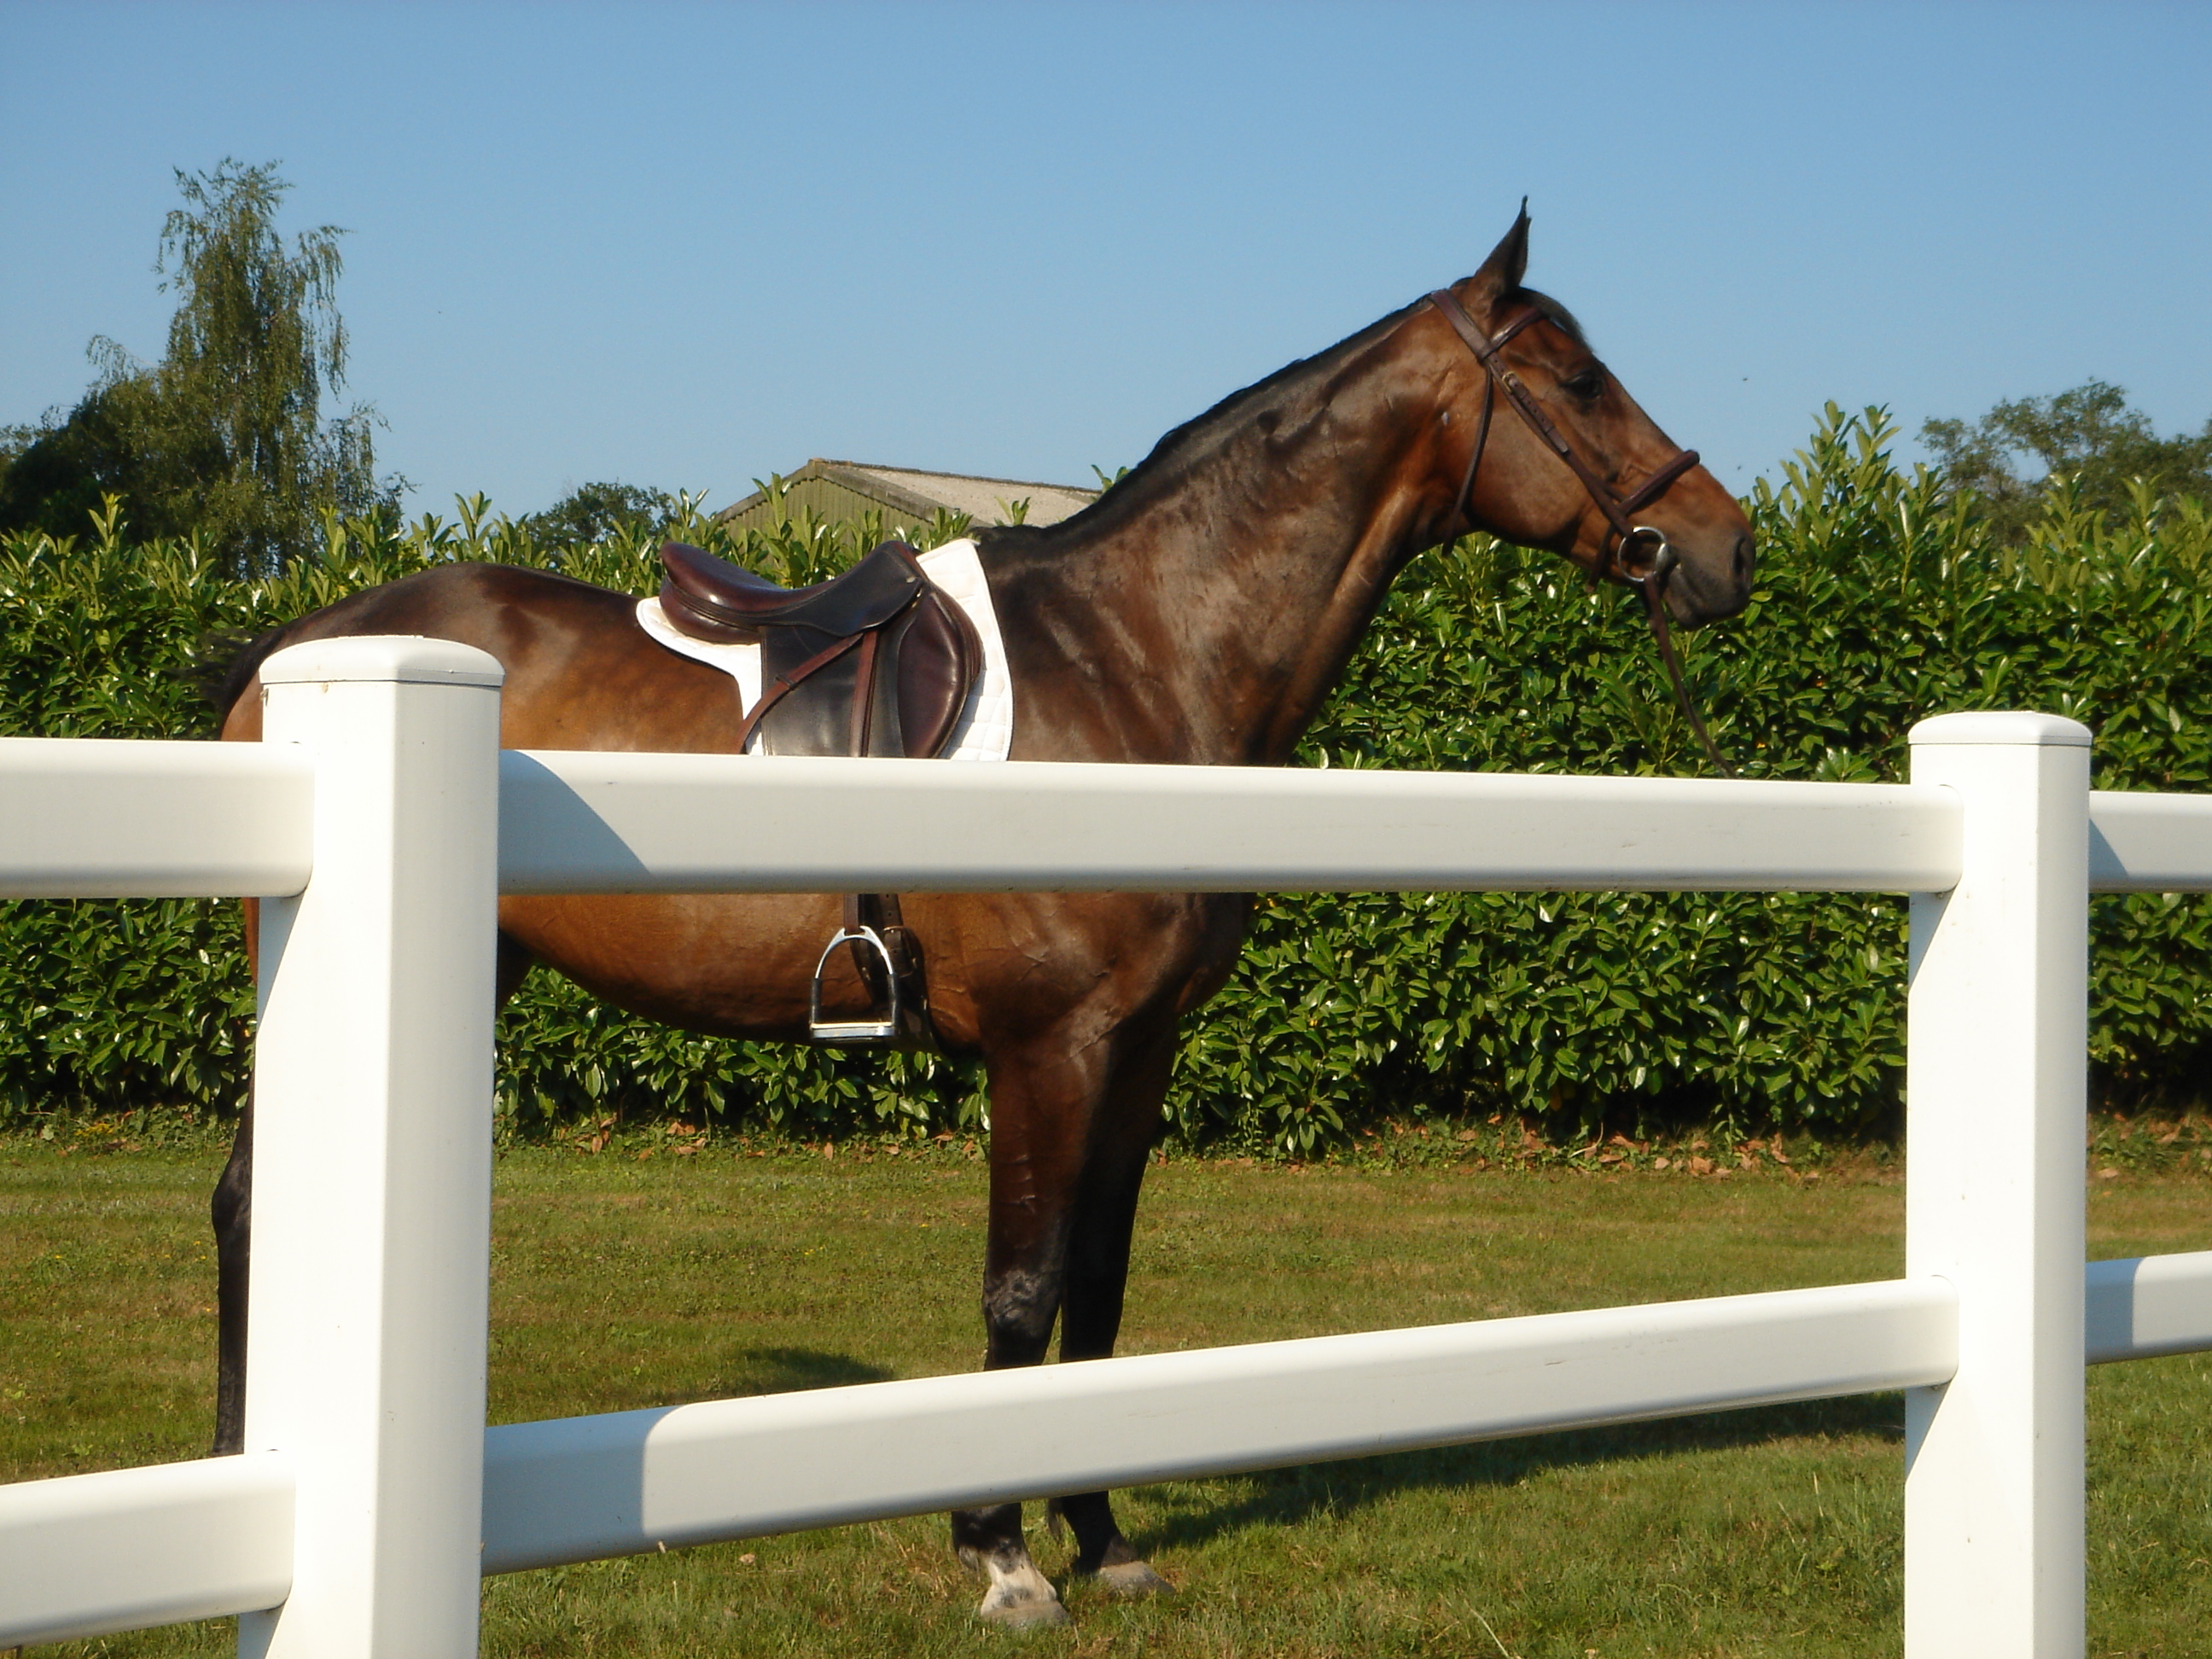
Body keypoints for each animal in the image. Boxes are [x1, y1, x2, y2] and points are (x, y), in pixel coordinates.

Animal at [210, 208, 1756, 1629]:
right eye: (1578, 381)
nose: (1725, 547)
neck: (1137, 657)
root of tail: (303, 641)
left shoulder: (1140, 1049)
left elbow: (1099, 1289)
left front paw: (1102, 1534)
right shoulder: (1047, 1047)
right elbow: (1023, 1288)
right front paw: (1002, 1553)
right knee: (244, 1201)